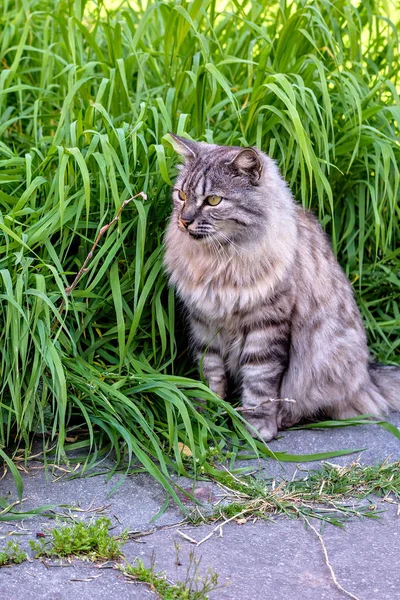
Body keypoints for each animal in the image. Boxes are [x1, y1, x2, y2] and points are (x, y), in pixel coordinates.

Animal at [163, 135, 400, 440]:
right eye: (181, 195)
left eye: (213, 200)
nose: (184, 220)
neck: (219, 262)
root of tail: (368, 375)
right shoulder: (205, 324)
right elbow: (211, 374)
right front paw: (208, 415)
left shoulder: (266, 325)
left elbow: (260, 383)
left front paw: (258, 428)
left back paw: (284, 419)